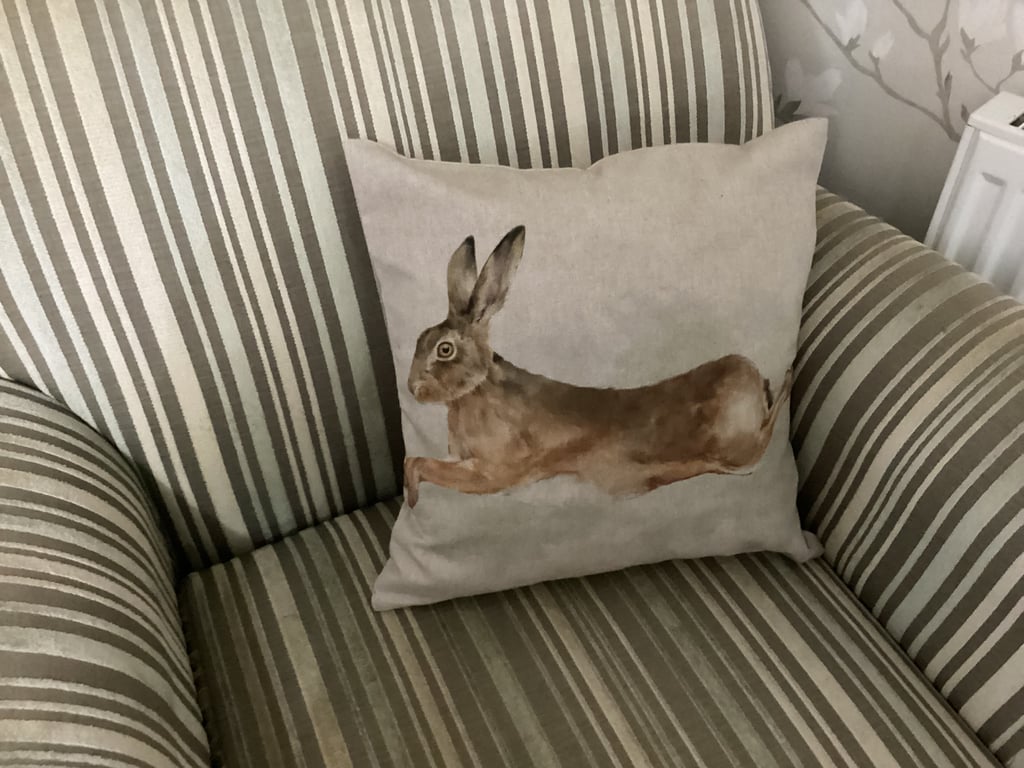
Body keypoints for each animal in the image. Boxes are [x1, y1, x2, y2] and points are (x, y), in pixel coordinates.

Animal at [402, 225, 793, 508]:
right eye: (418, 339)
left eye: (444, 349)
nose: (412, 389)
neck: (477, 389)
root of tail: (753, 377)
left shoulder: (495, 471)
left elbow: (420, 462)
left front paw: (413, 498)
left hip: (733, 447)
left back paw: (786, 380)